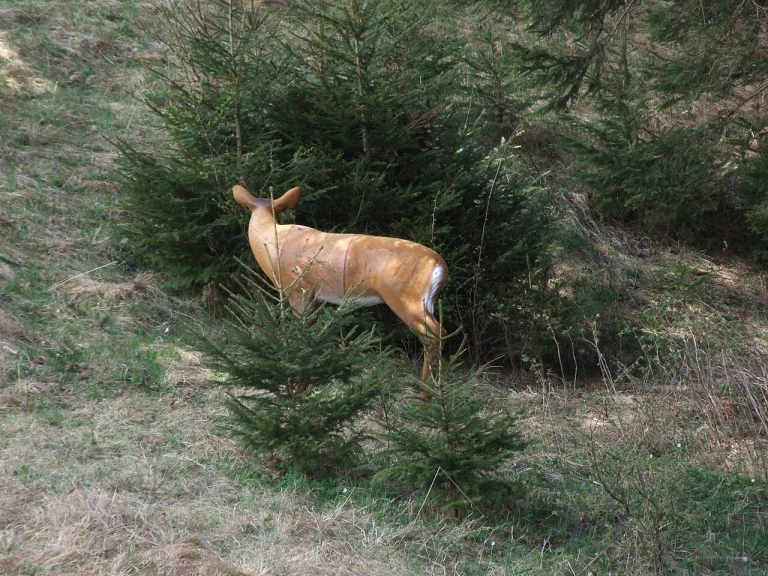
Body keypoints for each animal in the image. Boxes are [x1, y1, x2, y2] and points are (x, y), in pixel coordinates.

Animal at [233, 184, 448, 385]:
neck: (273, 242)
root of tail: (440, 266)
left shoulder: (298, 289)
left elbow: (302, 330)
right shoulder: (316, 296)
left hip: (405, 296)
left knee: (432, 333)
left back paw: (426, 390)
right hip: (425, 301)